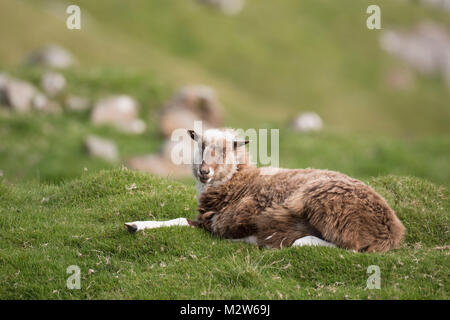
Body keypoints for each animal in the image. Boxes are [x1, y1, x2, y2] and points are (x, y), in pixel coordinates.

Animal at [125, 128, 406, 252]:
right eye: (201, 146)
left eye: (227, 150)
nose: (204, 171)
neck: (239, 181)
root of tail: (390, 229)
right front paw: (135, 225)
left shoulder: (215, 223)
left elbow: (179, 220)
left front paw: (137, 225)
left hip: (326, 207)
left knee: (347, 247)